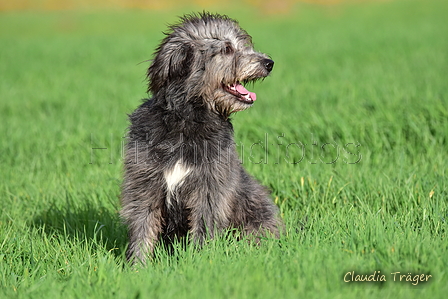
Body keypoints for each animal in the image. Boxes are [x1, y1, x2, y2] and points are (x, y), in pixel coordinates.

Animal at [120, 11, 280, 264]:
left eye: (244, 44)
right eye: (227, 49)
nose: (269, 63)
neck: (186, 121)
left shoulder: (210, 186)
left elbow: (204, 224)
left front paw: (199, 261)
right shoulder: (144, 182)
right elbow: (143, 225)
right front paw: (137, 265)